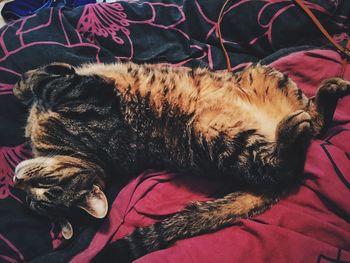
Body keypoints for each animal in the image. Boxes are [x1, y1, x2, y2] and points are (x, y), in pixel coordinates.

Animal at [12, 62, 348, 262]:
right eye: (40, 200)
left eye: (48, 189)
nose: (17, 182)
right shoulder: (86, 93)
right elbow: (49, 81)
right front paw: (32, 83)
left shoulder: (86, 91)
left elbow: (45, 79)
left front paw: (23, 83)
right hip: (222, 140)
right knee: (296, 155)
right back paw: (297, 126)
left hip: (266, 77)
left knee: (314, 128)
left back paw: (330, 91)